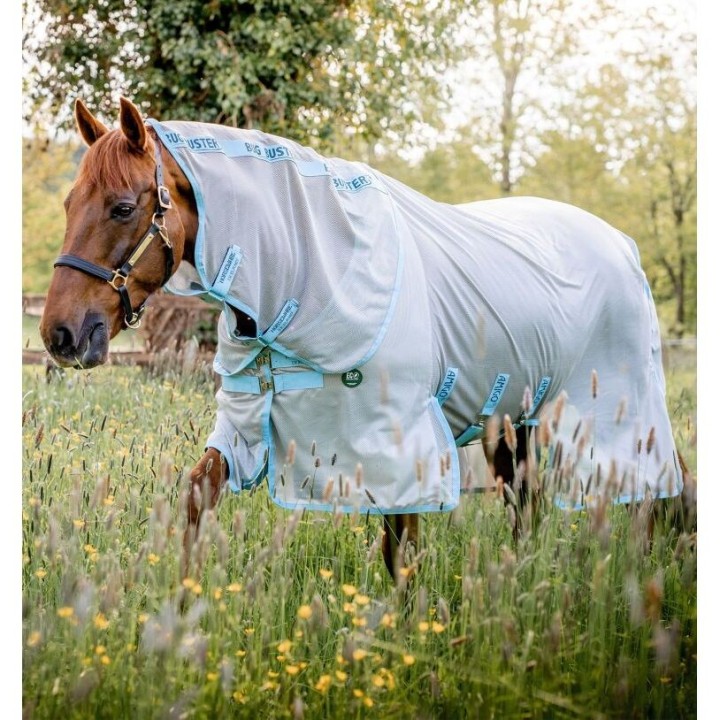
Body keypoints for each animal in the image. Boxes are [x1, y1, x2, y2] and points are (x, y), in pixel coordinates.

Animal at [40, 97, 686, 582]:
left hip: (614, 411)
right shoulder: (246, 425)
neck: (313, 267)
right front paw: (182, 616)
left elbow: (401, 553)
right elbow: (199, 494)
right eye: (69, 203)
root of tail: (622, 244)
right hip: (514, 419)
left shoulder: (400, 445)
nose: (61, 334)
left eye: (124, 208)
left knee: (658, 491)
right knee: (528, 506)